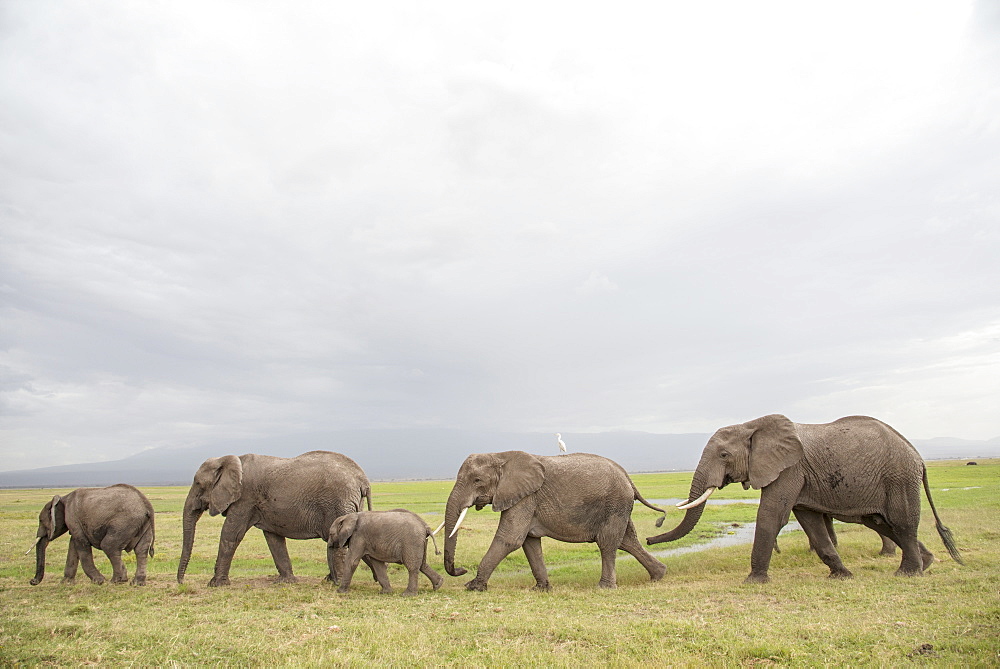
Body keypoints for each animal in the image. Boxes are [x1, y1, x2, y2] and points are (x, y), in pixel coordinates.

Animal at [178, 448, 370, 584]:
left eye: (198, 483)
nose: (181, 582)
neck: (230, 460)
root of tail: (363, 479)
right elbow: (273, 539)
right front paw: (287, 582)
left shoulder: (245, 498)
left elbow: (231, 534)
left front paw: (216, 584)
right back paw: (329, 580)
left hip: (338, 502)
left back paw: (337, 582)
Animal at [444, 448, 664, 588]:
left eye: (477, 480)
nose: (461, 569)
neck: (500, 455)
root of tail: (627, 476)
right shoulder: (525, 497)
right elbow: (529, 542)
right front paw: (542, 588)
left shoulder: (526, 497)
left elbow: (510, 539)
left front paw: (473, 587)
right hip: (618, 506)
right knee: (627, 541)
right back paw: (658, 575)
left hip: (615, 503)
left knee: (608, 542)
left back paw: (605, 587)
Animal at [648, 414, 960, 580]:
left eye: (724, 455)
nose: (652, 534)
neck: (751, 424)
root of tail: (918, 456)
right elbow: (810, 522)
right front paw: (841, 576)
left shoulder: (789, 468)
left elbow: (772, 515)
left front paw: (754, 581)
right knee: (882, 522)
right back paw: (927, 562)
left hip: (899, 477)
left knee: (902, 522)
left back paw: (908, 573)